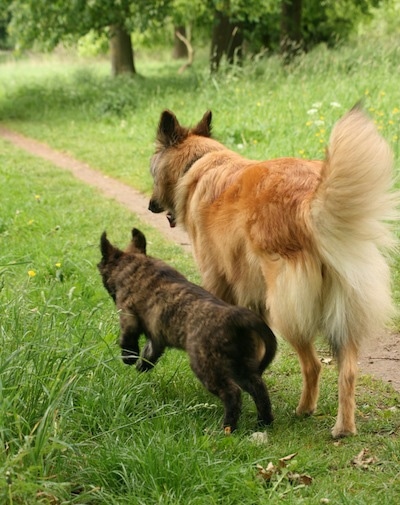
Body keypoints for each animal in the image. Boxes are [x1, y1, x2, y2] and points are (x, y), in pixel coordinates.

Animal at [98, 227, 276, 430]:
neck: (135, 264)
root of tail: (234, 316)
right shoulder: (156, 336)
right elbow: (149, 351)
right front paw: (142, 366)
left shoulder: (127, 314)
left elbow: (127, 340)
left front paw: (129, 359)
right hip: (241, 363)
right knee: (258, 388)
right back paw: (263, 421)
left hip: (206, 366)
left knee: (232, 393)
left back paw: (227, 427)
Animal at [148, 104, 398, 436]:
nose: (150, 205)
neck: (198, 163)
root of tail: (309, 200)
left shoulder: (218, 282)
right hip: (344, 312)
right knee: (347, 371)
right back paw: (343, 428)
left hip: (284, 307)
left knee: (313, 365)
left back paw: (304, 410)